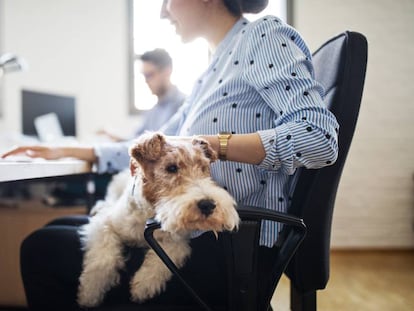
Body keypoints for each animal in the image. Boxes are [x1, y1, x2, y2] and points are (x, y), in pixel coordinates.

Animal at [77, 132, 239, 308]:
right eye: (172, 168)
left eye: (204, 168)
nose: (208, 205)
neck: (149, 213)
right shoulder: (104, 225)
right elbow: (103, 260)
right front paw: (89, 294)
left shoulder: (176, 242)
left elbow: (161, 261)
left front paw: (142, 287)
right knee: (107, 201)